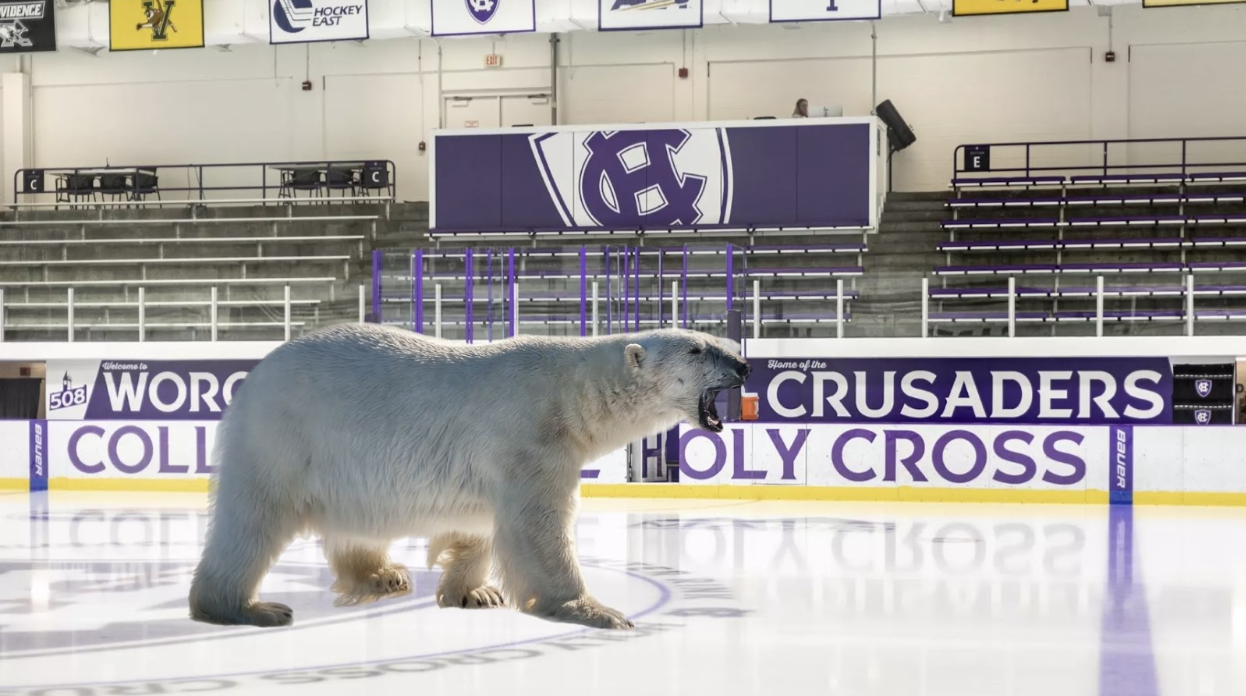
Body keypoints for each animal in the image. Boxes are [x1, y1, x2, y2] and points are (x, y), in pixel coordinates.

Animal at [188, 323, 749, 630]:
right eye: (697, 349)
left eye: (714, 338)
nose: (744, 363)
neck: (572, 392)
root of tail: (253, 378)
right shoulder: (530, 435)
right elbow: (537, 527)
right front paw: (595, 610)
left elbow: (480, 523)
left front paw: (474, 593)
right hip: (284, 436)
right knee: (251, 520)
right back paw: (246, 607)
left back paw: (382, 575)